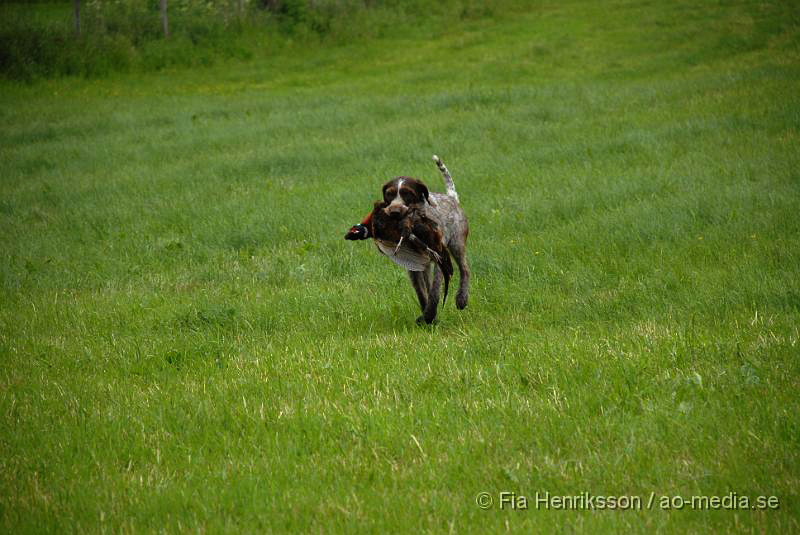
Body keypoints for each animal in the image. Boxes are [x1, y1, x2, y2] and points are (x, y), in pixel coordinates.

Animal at [344, 155, 468, 322]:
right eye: (389, 194)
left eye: (407, 193)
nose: (395, 212)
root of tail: (451, 198)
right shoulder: (414, 265)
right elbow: (422, 292)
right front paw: (427, 314)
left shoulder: (438, 256)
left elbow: (435, 290)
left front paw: (430, 314)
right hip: (426, 263)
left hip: (456, 244)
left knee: (464, 269)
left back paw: (462, 298)